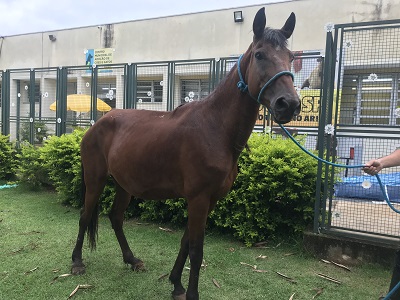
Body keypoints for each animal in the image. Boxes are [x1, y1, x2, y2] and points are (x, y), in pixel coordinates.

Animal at [71, 8, 300, 300]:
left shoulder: (209, 200)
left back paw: (132, 259)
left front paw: (176, 283)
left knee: (116, 217)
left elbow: (185, 241)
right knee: (85, 215)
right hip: (95, 179)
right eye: (259, 54)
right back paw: (77, 262)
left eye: (290, 57)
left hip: (124, 184)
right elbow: (196, 249)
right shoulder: (198, 198)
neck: (215, 128)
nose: (289, 104)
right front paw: (190, 292)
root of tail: (96, 125)